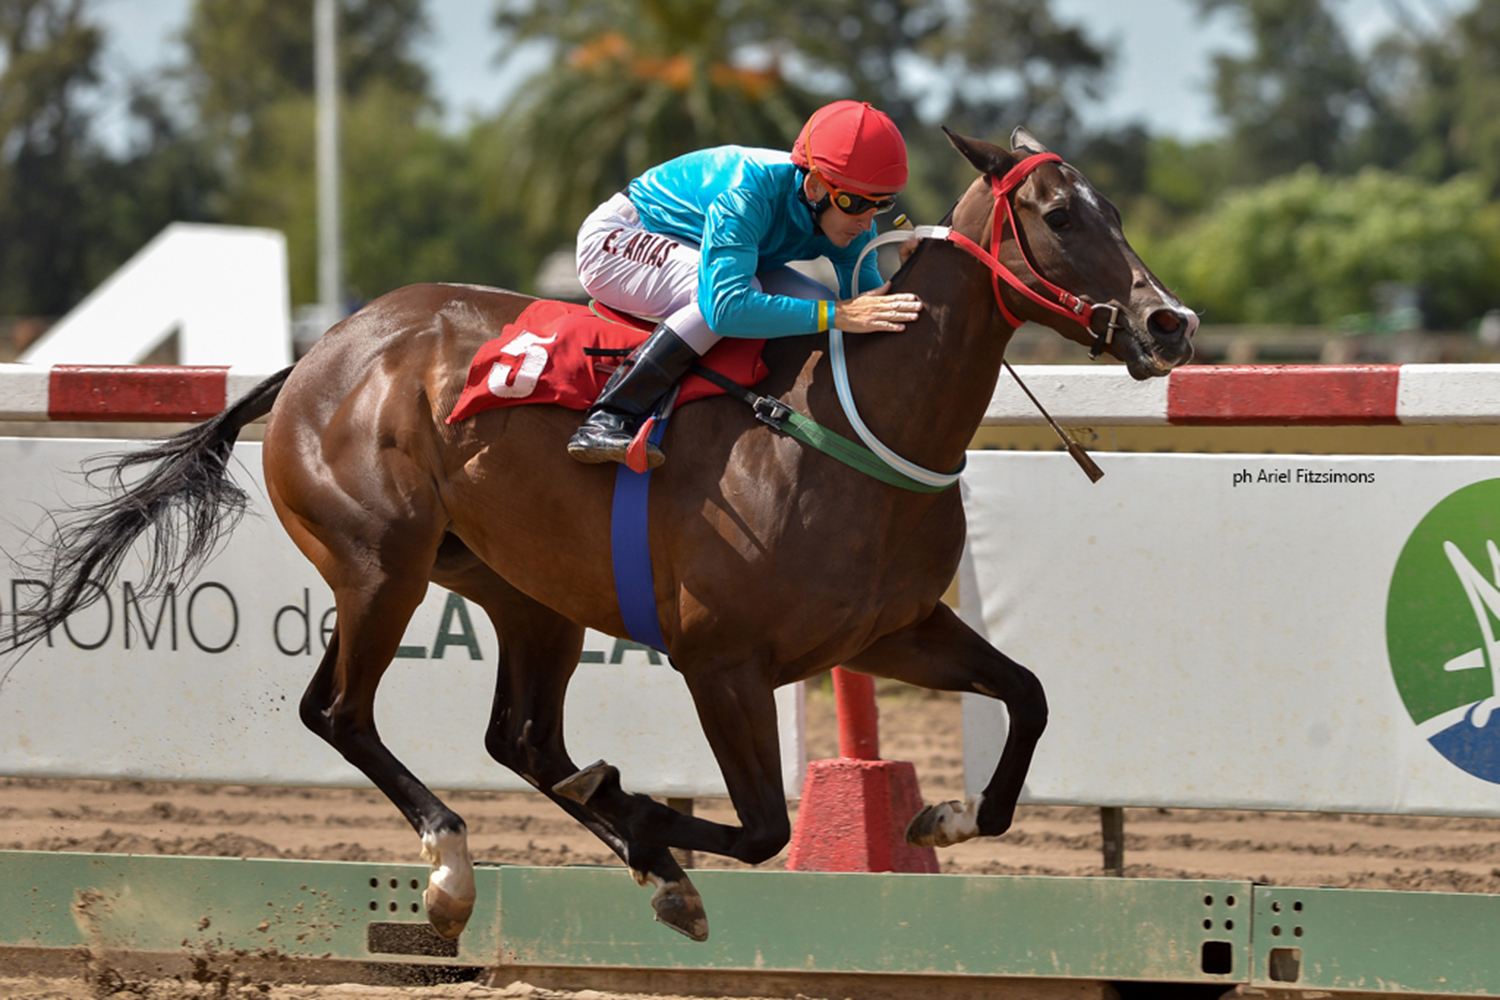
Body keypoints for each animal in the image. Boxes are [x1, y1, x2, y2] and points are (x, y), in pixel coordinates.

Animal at [5, 126, 1196, 943]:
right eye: (1059, 215)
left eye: (1115, 210)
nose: (1169, 323)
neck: (851, 427)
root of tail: (322, 352)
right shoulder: (722, 660)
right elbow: (761, 828)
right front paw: (647, 818)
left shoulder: (891, 631)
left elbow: (1028, 697)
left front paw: (944, 818)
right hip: (380, 566)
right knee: (341, 711)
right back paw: (455, 869)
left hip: (523, 592)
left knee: (518, 739)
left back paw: (618, 846)